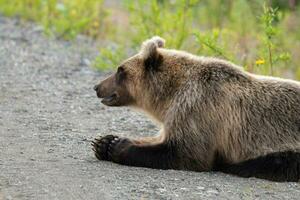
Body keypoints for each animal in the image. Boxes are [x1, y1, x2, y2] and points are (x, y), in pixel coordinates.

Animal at [92, 36, 300, 181]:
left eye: (120, 70)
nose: (97, 87)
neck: (169, 96)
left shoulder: (199, 109)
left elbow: (186, 153)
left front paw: (118, 146)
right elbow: (160, 138)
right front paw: (105, 141)